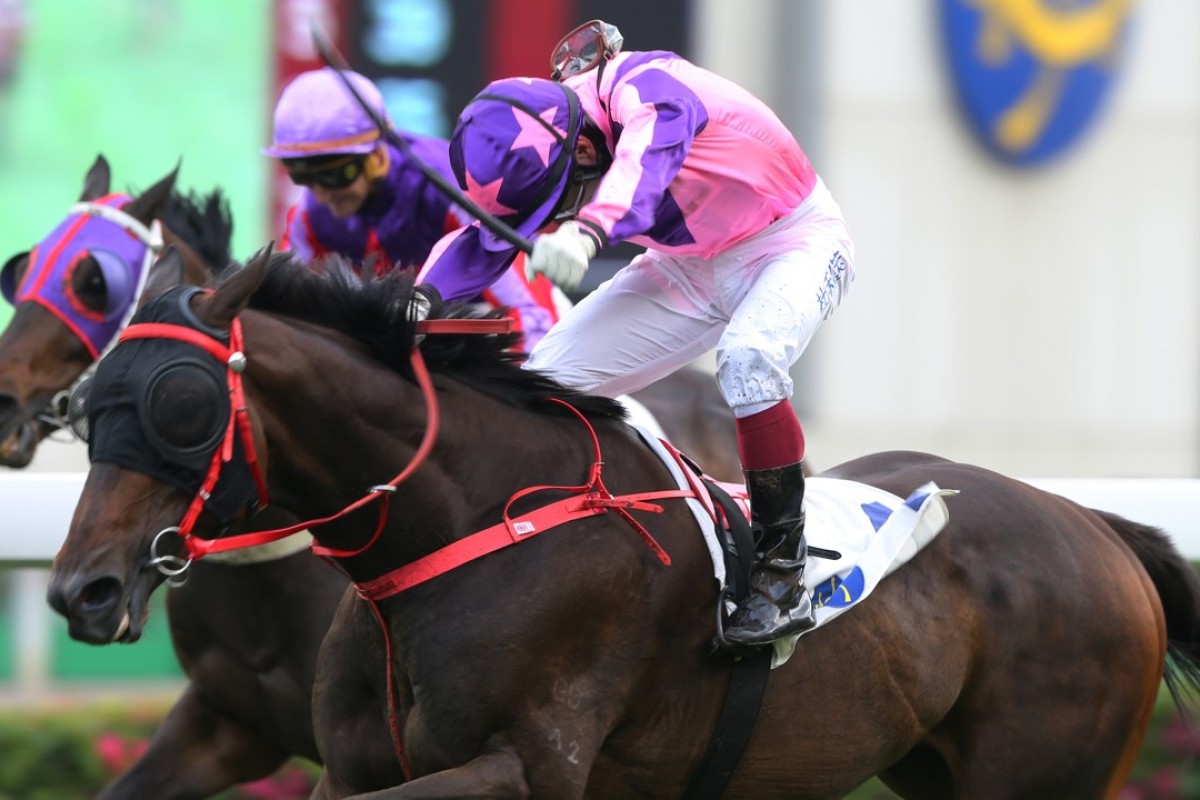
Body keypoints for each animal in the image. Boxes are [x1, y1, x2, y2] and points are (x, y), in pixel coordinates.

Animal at [49, 250, 1200, 800]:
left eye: (183, 406)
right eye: (92, 404)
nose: (80, 588)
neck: (463, 526)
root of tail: (1097, 525)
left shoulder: (528, 766)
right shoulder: (351, 762)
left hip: (1047, 769)